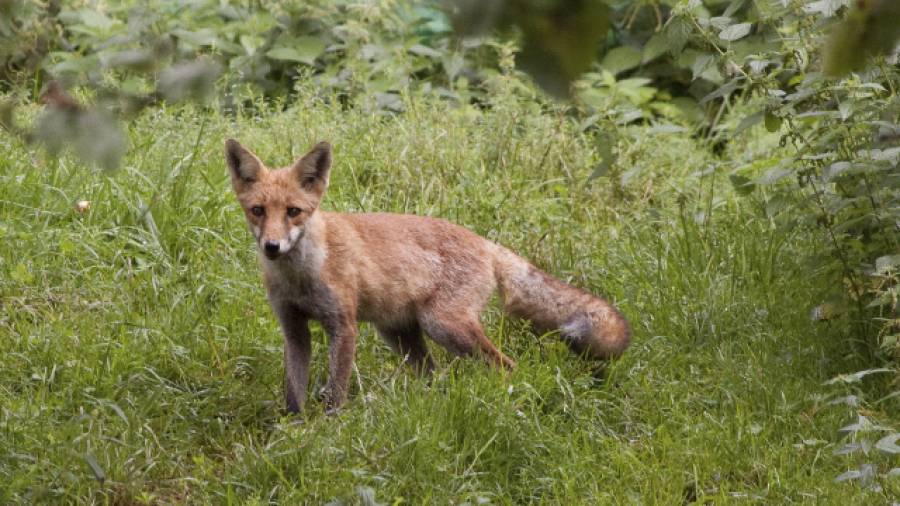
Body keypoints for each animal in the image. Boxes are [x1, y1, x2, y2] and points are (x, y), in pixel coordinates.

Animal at [225, 138, 632, 412]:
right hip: (401, 335)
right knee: (435, 377)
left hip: (445, 326)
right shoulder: (294, 330)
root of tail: (486, 242)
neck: (300, 277)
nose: (272, 247)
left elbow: (335, 392)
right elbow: (294, 392)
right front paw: (293, 434)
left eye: (293, 211)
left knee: (507, 366)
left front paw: (328, 433)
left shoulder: (344, 326)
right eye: (258, 210)